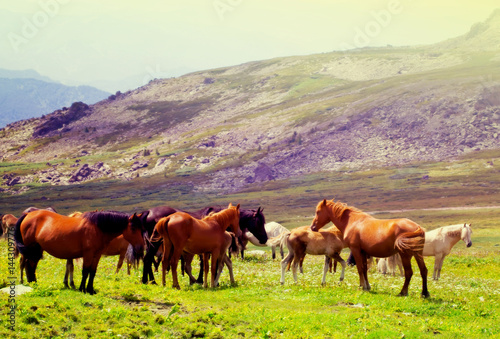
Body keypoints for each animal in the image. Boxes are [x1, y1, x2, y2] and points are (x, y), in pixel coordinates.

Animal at [14, 210, 146, 294]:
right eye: (133, 228)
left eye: (142, 228)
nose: (141, 247)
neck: (97, 228)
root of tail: (27, 214)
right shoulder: (88, 254)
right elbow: (85, 271)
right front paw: (82, 289)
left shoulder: (97, 255)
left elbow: (92, 272)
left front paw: (90, 289)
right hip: (30, 249)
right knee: (26, 264)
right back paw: (29, 283)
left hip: (37, 249)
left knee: (31, 265)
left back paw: (33, 283)